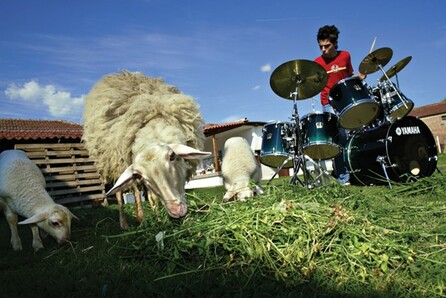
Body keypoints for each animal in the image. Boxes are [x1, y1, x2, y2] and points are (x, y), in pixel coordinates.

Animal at [83, 70, 211, 228]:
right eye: (139, 175)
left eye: (172, 156)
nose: (176, 210)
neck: (154, 129)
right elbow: (149, 197)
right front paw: (158, 221)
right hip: (114, 165)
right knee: (123, 194)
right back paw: (128, 222)